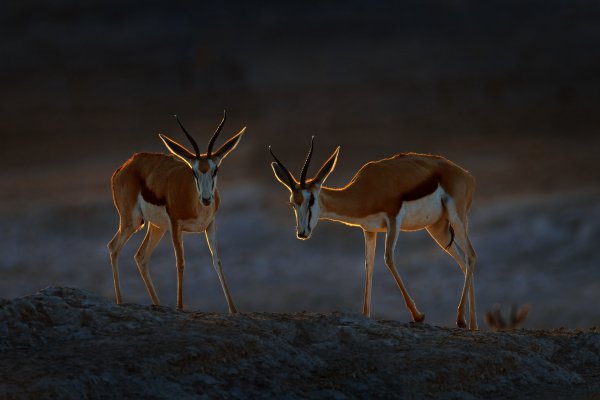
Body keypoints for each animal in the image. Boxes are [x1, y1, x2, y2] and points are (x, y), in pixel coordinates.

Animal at [109, 111, 245, 310]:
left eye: (215, 170)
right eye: (194, 172)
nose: (206, 199)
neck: (195, 204)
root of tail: (124, 167)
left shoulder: (210, 225)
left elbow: (217, 261)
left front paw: (234, 310)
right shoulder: (175, 225)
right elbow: (180, 262)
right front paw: (180, 307)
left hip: (157, 228)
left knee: (140, 257)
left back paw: (157, 304)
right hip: (132, 222)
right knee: (113, 248)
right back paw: (120, 301)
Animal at [270, 138, 478, 328]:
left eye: (311, 199)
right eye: (293, 203)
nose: (302, 232)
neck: (366, 189)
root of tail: (466, 174)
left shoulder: (393, 219)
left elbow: (388, 259)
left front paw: (418, 316)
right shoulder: (369, 230)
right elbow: (368, 265)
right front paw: (366, 314)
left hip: (457, 218)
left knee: (471, 256)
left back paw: (462, 321)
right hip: (437, 229)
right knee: (462, 262)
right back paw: (471, 325)